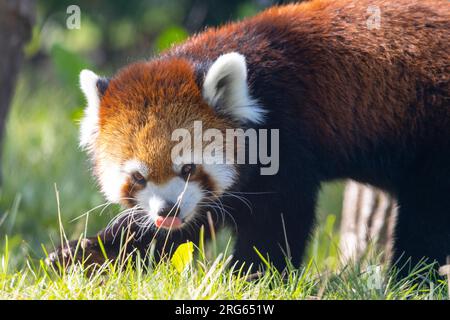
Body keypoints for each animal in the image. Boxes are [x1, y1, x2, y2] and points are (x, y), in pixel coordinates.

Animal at [47, 0, 448, 276]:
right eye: (138, 177)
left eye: (188, 167)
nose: (167, 210)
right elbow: (176, 230)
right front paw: (86, 254)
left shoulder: (289, 141)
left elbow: (276, 224)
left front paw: (250, 276)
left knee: (427, 212)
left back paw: (409, 275)